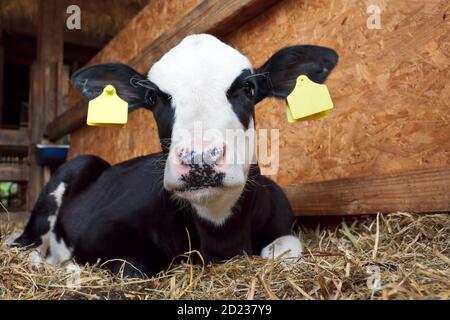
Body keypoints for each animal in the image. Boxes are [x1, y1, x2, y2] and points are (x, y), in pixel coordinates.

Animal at [13, 33, 338, 276]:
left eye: (248, 87)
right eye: (153, 97)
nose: (200, 158)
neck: (222, 234)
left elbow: (285, 250)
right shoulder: (102, 230)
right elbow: (132, 267)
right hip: (71, 172)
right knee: (26, 245)